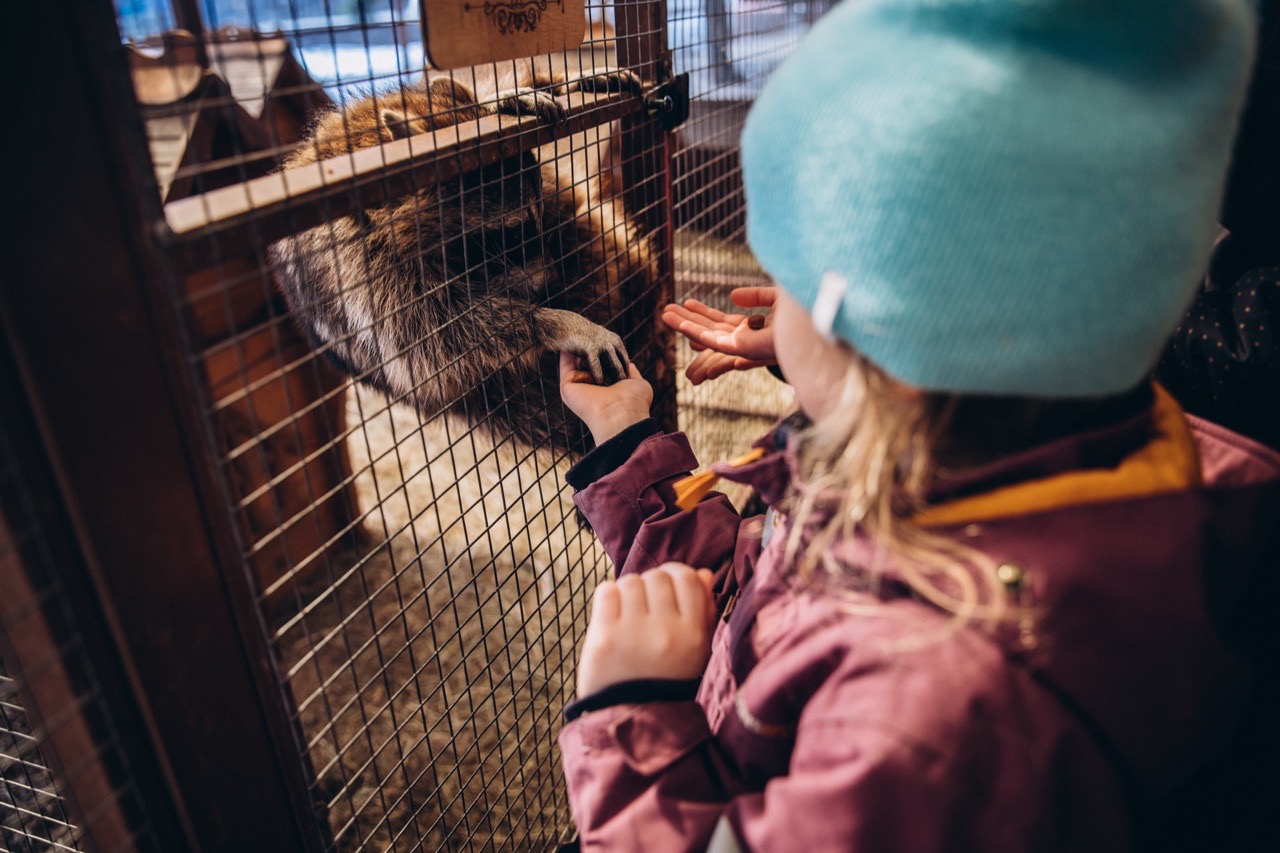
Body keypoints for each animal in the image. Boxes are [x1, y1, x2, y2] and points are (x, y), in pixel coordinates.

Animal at [267, 62, 650, 450]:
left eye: (534, 220)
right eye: (512, 233)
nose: (549, 284)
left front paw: (507, 97)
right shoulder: (358, 269)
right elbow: (436, 340)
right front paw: (551, 321)